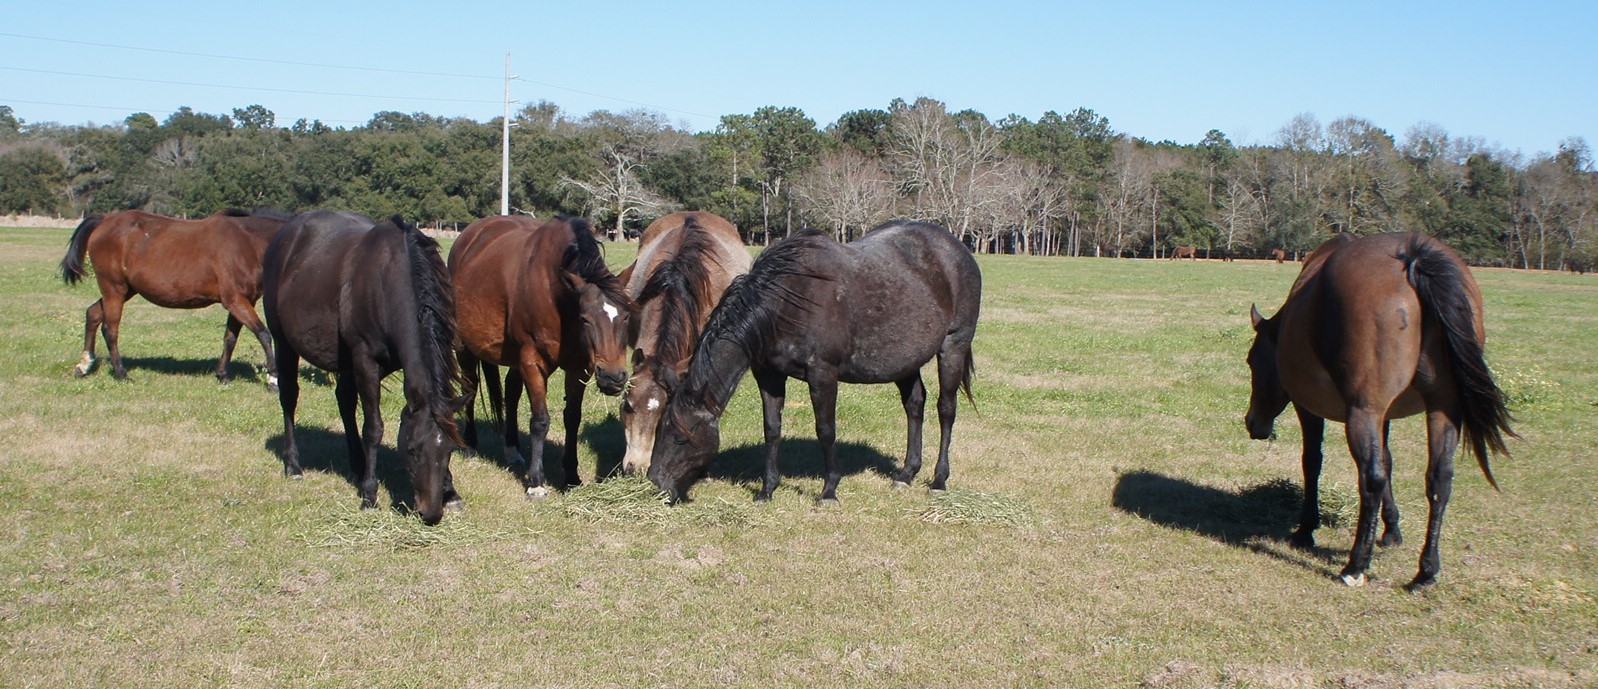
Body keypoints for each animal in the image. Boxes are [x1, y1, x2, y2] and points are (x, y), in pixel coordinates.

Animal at [58, 207, 291, 388]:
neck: (247, 243)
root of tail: (105, 220)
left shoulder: (244, 300)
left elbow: (230, 338)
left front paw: (223, 374)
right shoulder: (235, 300)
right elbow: (264, 334)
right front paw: (273, 379)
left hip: (124, 290)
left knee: (93, 314)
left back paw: (84, 365)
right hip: (113, 289)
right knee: (110, 330)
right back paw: (121, 373)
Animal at [262, 211, 465, 525]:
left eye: (450, 450)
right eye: (412, 450)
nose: (430, 514)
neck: (388, 284)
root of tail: (285, 234)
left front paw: (451, 491)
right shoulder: (365, 361)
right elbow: (374, 428)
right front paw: (370, 495)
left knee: (344, 400)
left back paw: (356, 463)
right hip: (285, 344)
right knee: (289, 398)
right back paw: (293, 465)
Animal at [449, 215, 632, 496]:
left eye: (626, 316)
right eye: (585, 319)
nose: (613, 377)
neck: (557, 295)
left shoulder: (579, 368)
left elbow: (572, 418)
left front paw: (571, 476)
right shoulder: (533, 362)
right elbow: (540, 421)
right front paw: (536, 482)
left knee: (511, 391)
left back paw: (512, 449)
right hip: (464, 347)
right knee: (469, 388)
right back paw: (469, 445)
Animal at [647, 221, 982, 505]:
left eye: (680, 437)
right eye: (658, 430)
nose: (655, 484)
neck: (784, 303)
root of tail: (959, 249)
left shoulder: (823, 374)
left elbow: (826, 429)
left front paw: (829, 490)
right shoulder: (768, 376)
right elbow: (772, 429)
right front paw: (767, 489)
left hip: (953, 346)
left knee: (946, 409)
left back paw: (939, 480)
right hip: (905, 360)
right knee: (915, 405)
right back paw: (906, 474)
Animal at [1245, 232, 1517, 589]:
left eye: (1251, 361)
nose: (1253, 423)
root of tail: (1413, 258)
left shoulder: (1313, 408)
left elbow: (1313, 462)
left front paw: (1306, 529)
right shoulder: (1385, 415)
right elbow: (1388, 461)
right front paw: (1392, 530)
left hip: (1365, 412)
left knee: (1371, 477)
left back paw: (1356, 564)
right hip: (1441, 408)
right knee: (1439, 479)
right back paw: (1426, 571)